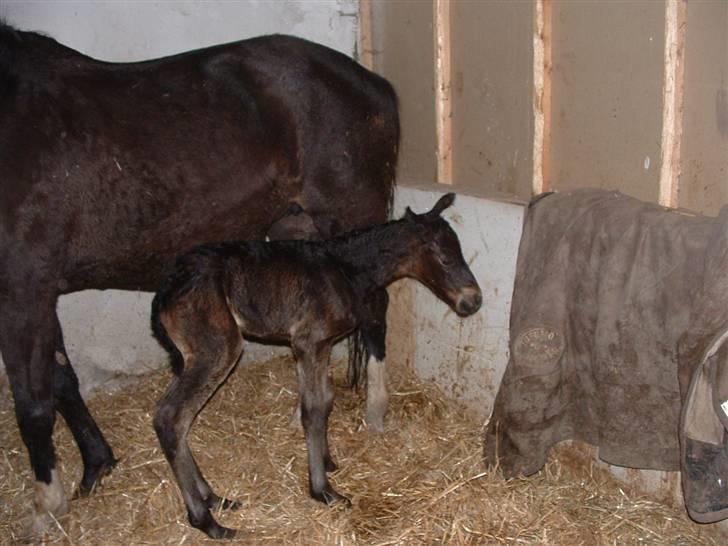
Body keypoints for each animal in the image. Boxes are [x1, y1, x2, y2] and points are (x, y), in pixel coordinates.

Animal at [152, 193, 484, 536]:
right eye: (445, 259)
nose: (473, 300)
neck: (345, 269)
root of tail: (167, 289)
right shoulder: (309, 342)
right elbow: (312, 410)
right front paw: (323, 490)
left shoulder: (320, 345)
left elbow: (326, 401)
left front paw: (327, 462)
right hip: (217, 350)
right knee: (172, 417)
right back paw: (206, 519)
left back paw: (214, 498)